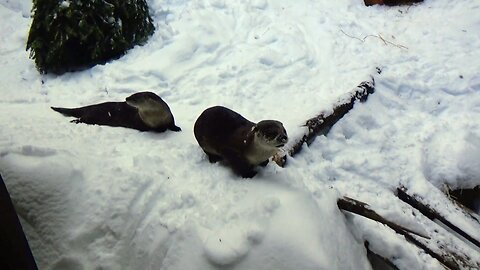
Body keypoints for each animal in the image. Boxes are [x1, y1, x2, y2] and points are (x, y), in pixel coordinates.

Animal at [51, 91, 180, 132]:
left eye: (135, 97)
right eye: (132, 94)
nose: (127, 98)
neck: (156, 116)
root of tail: (91, 107)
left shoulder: (169, 116)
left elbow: (171, 123)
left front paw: (176, 128)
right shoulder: (142, 122)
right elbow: (154, 129)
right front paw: (161, 129)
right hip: (91, 116)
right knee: (82, 118)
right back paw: (73, 121)